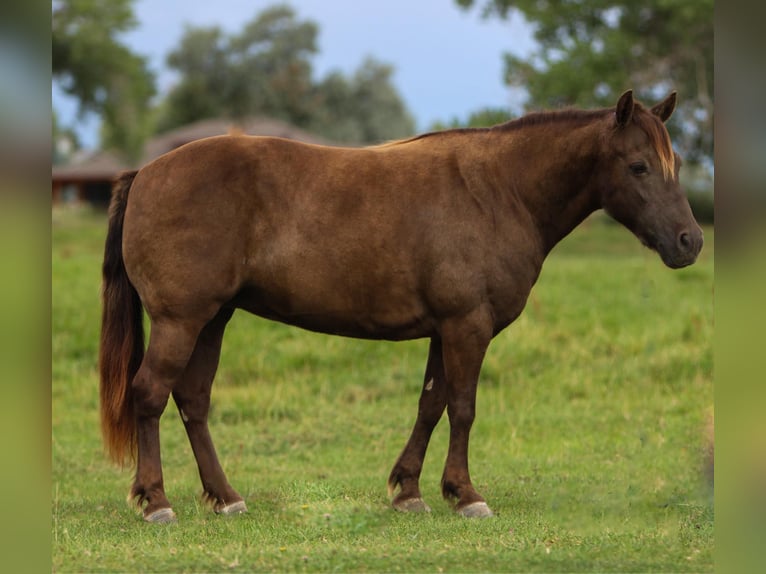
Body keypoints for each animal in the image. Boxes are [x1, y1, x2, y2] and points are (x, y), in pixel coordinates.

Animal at [99, 89, 704, 520]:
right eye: (639, 166)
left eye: (673, 163)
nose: (690, 241)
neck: (498, 191)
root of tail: (146, 172)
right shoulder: (467, 326)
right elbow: (463, 407)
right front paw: (466, 494)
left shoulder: (445, 328)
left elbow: (431, 405)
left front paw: (409, 490)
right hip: (181, 321)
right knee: (150, 394)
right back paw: (156, 501)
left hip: (212, 320)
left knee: (193, 401)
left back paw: (225, 497)